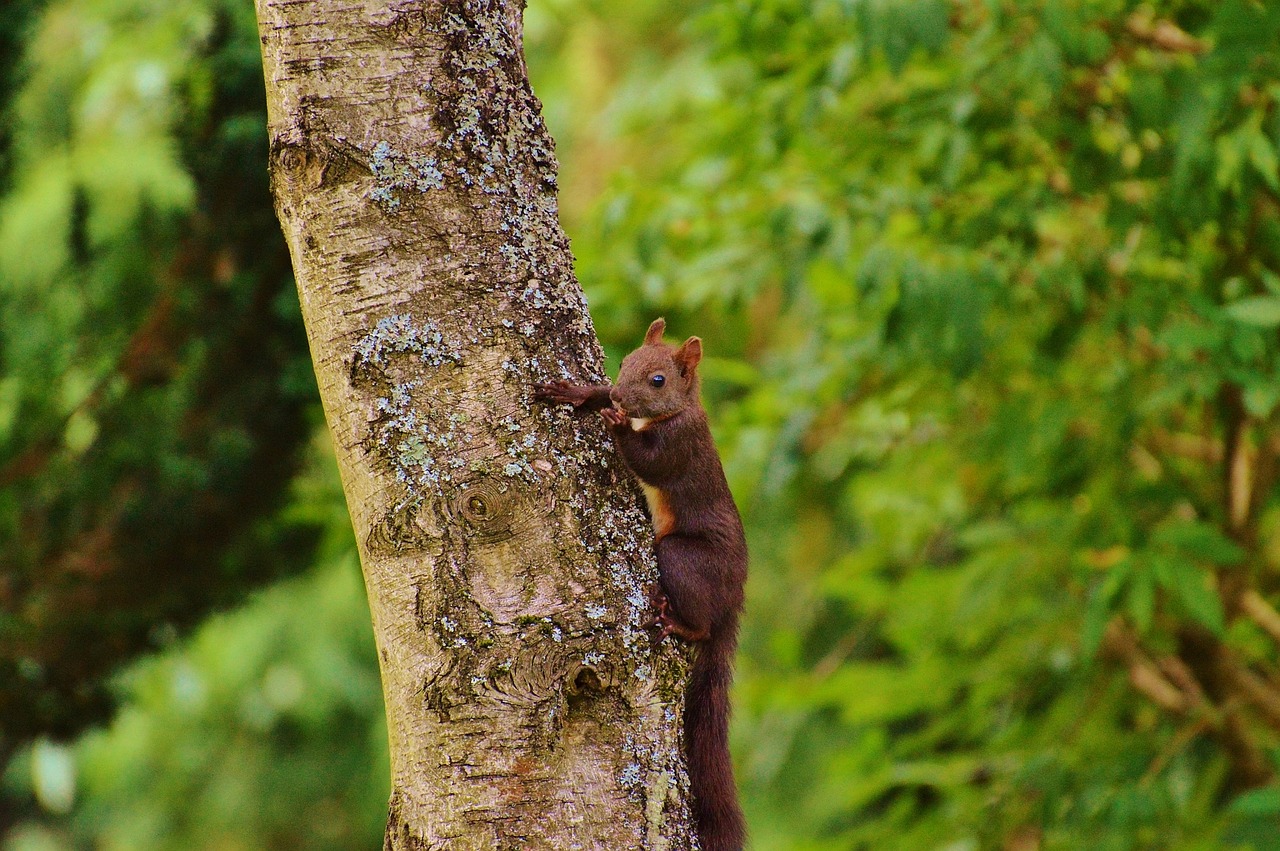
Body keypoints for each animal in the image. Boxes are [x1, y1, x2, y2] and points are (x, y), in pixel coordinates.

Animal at [532, 317, 747, 849]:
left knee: (701, 624)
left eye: (658, 381)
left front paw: (611, 421)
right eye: (626, 360)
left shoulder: (679, 445)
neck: (671, 414)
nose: (619, 394)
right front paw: (580, 392)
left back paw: (677, 622)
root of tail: (735, 596)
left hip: (684, 561)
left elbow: (648, 463)